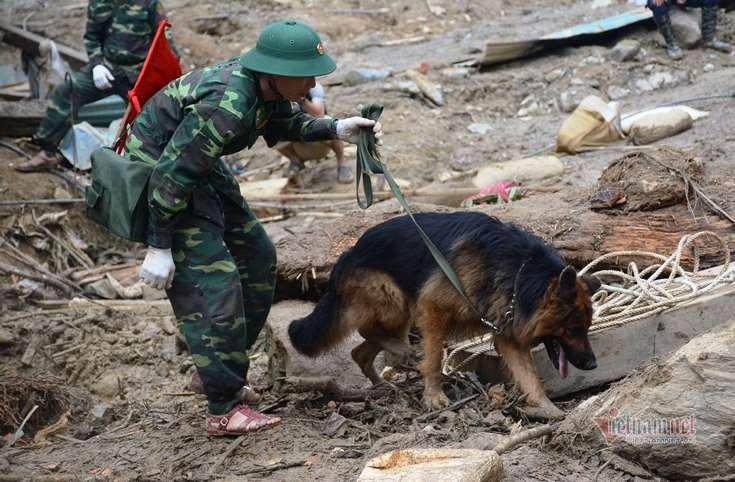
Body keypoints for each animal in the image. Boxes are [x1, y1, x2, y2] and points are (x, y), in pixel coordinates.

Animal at [284, 212, 600, 418]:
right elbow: (435, 358)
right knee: (368, 331)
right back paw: (404, 354)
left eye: (586, 328)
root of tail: (347, 254)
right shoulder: (433, 308)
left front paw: (547, 408)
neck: (520, 272)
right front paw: (434, 396)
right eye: (573, 329)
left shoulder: (507, 332)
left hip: (398, 314)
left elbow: (529, 376)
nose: (593, 365)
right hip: (393, 299)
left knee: (360, 351)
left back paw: (382, 382)